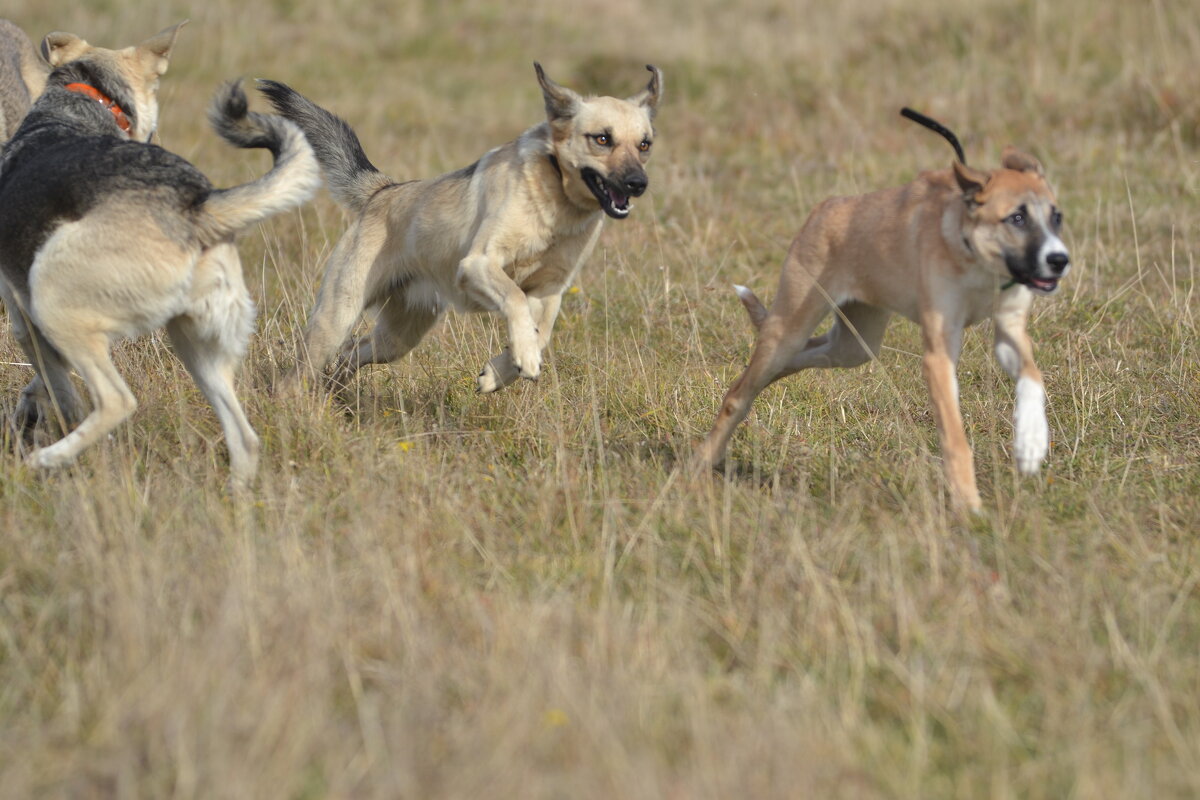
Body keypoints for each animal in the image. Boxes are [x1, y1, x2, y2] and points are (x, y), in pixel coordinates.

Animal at [0, 25, 321, 484]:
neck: (88, 99)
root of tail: (198, 206)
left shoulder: (27, 322)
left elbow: (62, 391)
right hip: (196, 345)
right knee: (245, 439)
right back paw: (235, 497)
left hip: (53, 298)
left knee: (117, 401)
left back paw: (48, 459)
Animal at [256, 64, 662, 395]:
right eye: (602, 139)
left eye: (644, 144)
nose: (638, 184)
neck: (555, 199)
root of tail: (383, 191)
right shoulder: (479, 264)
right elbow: (515, 300)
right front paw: (523, 359)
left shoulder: (551, 290)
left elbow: (540, 331)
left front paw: (501, 371)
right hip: (338, 316)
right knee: (299, 375)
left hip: (398, 337)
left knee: (350, 353)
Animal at [691, 107, 1075, 513]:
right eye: (1017, 218)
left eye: (1056, 216)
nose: (1058, 261)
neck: (973, 254)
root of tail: (824, 208)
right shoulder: (939, 354)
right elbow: (955, 437)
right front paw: (968, 505)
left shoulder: (1010, 329)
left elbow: (1033, 376)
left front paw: (1031, 442)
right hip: (791, 325)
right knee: (739, 392)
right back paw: (700, 463)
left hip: (854, 345)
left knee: (797, 359)